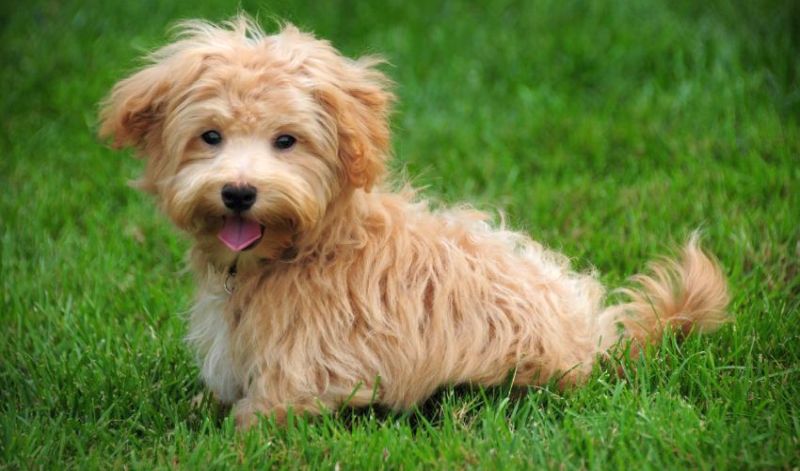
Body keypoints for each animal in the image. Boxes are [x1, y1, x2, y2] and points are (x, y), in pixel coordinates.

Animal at [97, 15, 728, 428]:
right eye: (210, 136)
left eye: (286, 140)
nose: (238, 193)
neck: (307, 246)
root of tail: (595, 340)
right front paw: (200, 407)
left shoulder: (310, 369)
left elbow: (264, 414)